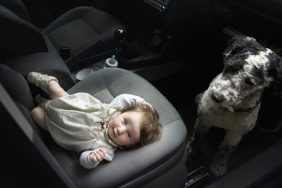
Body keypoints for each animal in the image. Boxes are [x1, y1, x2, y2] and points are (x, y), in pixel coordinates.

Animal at [187, 35, 282, 176]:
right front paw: (192, 149)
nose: (216, 97)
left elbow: (225, 150)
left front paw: (218, 166)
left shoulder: (236, 134)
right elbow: (198, 137)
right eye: (230, 67)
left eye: (250, 82)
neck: (229, 111)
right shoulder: (204, 120)